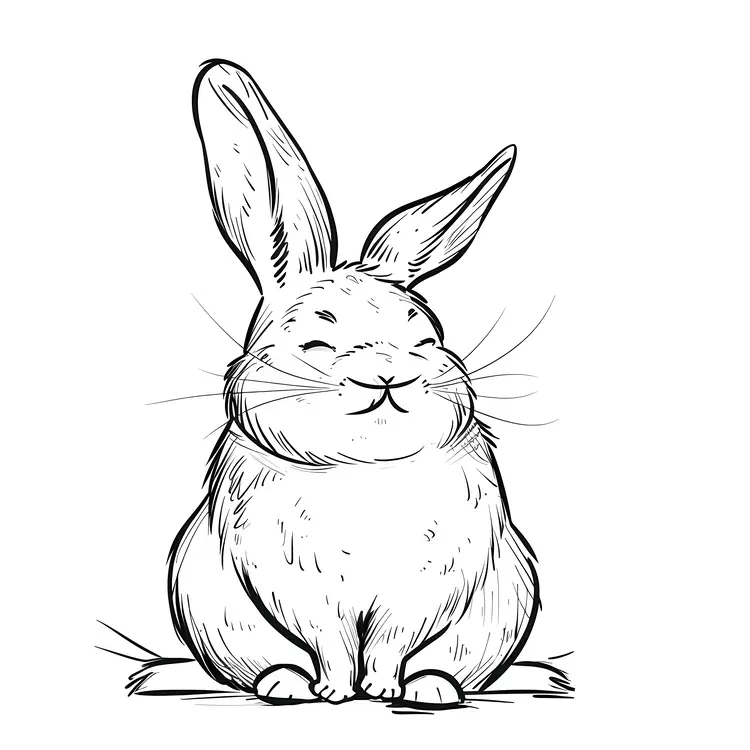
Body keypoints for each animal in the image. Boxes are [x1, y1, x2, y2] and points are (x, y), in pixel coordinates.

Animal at [167, 59, 540, 708]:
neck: (366, 473)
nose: (389, 374)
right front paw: (338, 692)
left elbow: (392, 643)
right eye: (316, 345)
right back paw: (284, 685)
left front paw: (389, 689)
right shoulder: (299, 589)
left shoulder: (429, 586)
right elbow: (331, 644)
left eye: (426, 340)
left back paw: (434, 688)